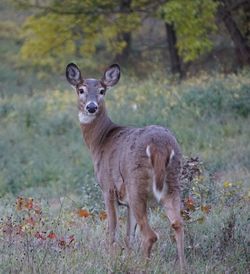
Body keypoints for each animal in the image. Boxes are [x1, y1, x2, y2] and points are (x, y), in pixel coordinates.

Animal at [65, 62, 185, 272]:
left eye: (102, 91)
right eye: (81, 90)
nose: (91, 107)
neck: (100, 141)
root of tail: (160, 145)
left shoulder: (107, 187)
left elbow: (112, 229)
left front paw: (110, 260)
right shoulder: (127, 201)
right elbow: (129, 235)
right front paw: (126, 258)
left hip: (136, 183)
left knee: (151, 235)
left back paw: (143, 267)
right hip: (172, 182)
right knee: (178, 224)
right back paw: (183, 267)